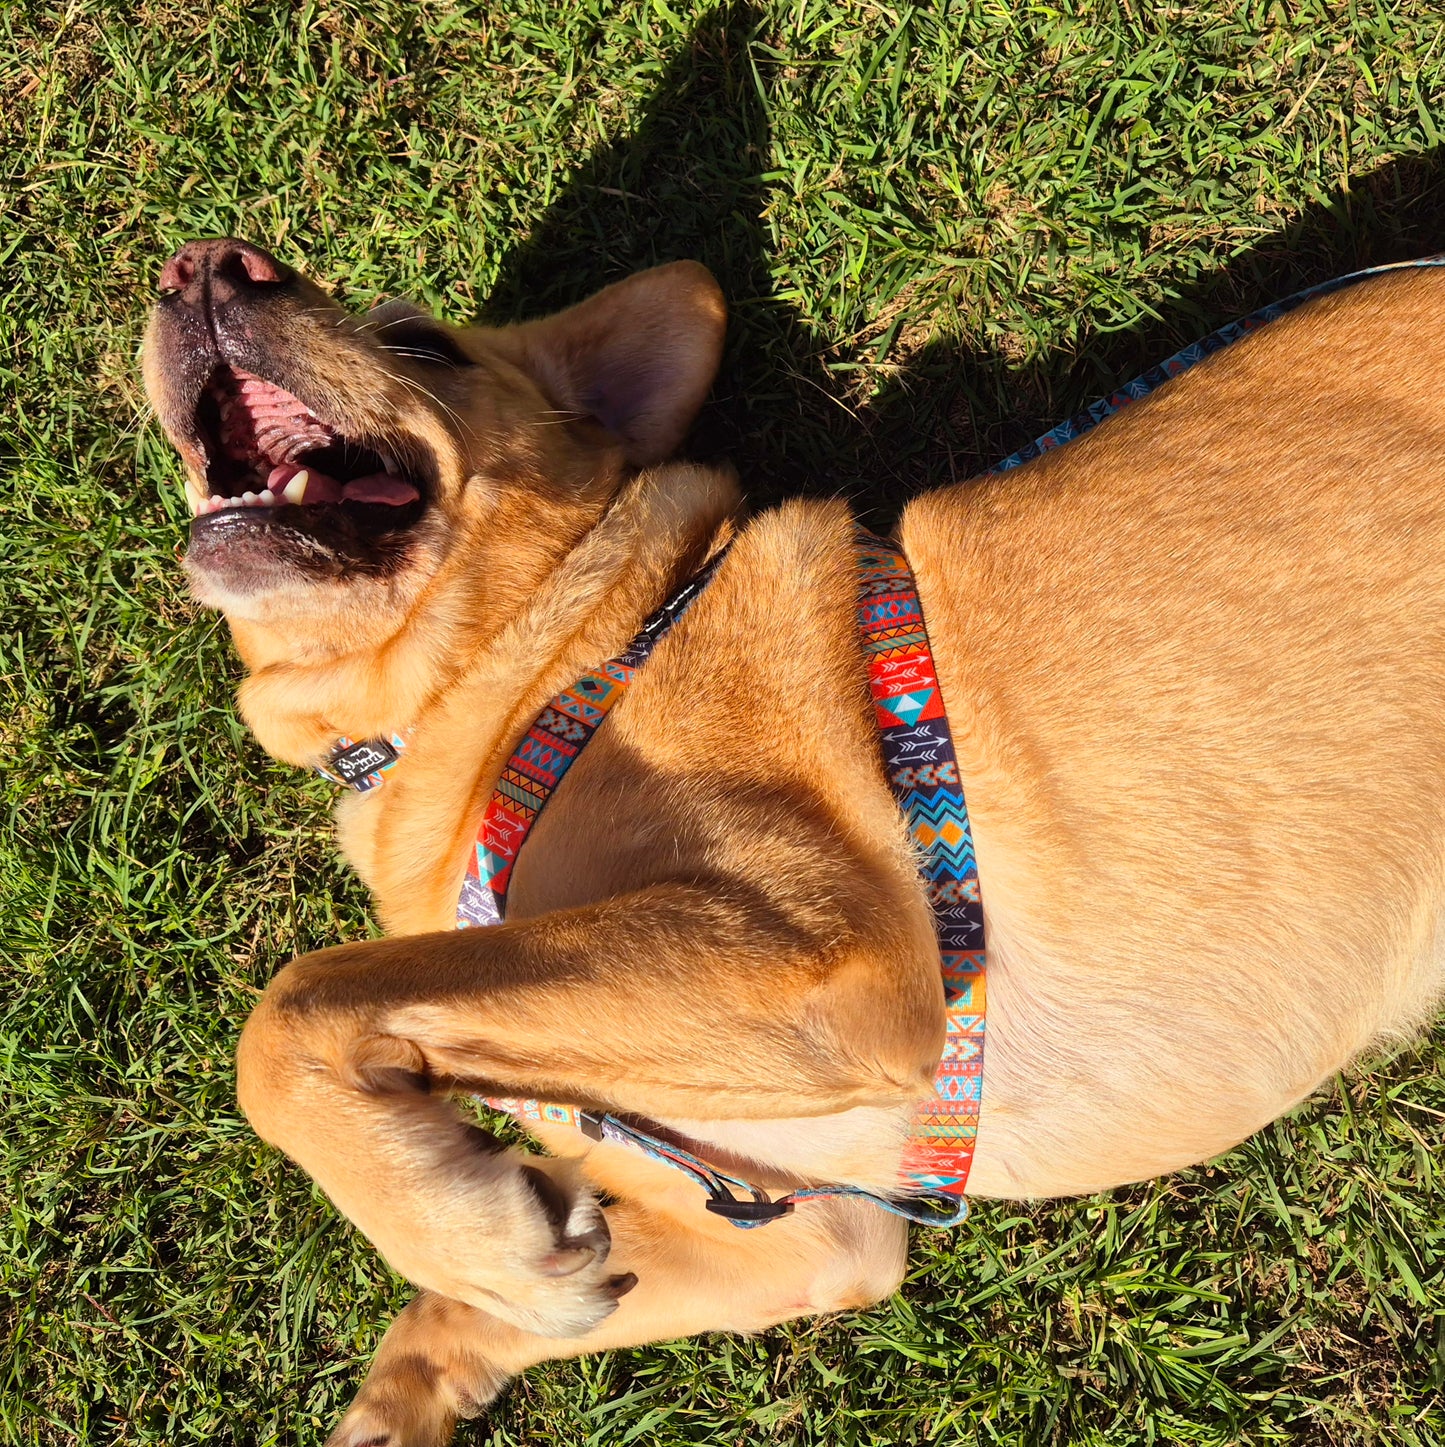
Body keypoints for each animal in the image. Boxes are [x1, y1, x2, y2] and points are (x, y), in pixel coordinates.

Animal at [143, 243, 1445, 1441]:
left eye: (422, 341)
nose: (206, 265)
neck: (542, 661)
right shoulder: (809, 1230)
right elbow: (482, 1304)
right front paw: (478, 1292)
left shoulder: (819, 944)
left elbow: (296, 1006)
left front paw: (471, 1233)